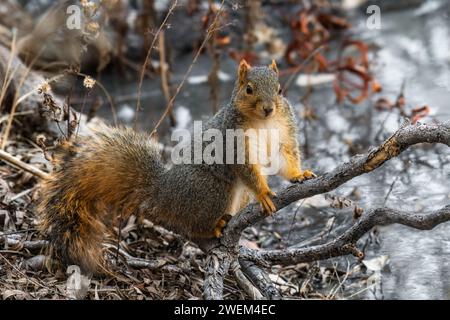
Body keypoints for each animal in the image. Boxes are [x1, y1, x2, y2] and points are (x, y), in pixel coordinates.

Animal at [37, 59, 314, 272]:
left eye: (279, 89)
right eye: (248, 89)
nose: (268, 108)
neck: (263, 122)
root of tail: (162, 191)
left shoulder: (284, 131)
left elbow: (285, 158)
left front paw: (299, 175)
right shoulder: (233, 141)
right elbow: (246, 169)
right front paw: (265, 193)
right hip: (210, 190)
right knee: (195, 224)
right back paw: (214, 226)